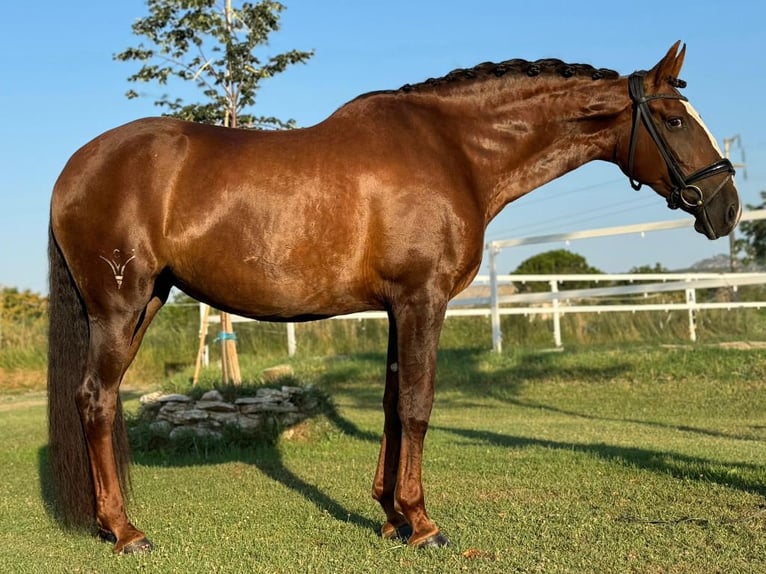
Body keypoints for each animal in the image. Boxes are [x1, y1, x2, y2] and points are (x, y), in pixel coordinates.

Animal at [46, 42, 736, 556]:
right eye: (675, 120)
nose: (726, 207)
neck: (455, 150)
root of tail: (74, 168)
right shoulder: (422, 300)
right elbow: (418, 406)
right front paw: (422, 523)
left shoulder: (396, 309)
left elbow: (391, 404)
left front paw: (390, 517)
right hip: (120, 310)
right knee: (96, 400)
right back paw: (124, 531)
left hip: (147, 304)